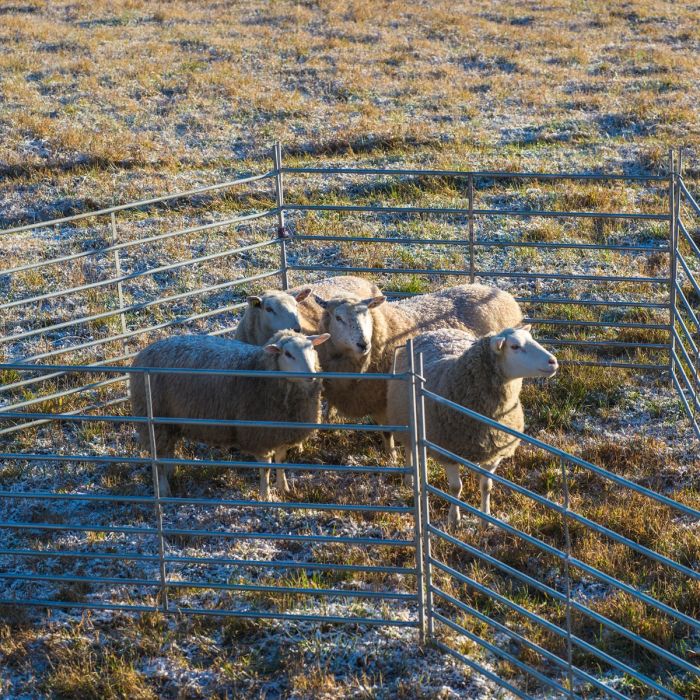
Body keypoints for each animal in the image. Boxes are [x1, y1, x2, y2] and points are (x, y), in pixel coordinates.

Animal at [131, 332, 330, 500]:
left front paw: (284, 488)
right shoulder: (259, 436)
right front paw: (266, 496)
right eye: (288, 354)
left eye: (312, 349)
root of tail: (145, 351)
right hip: (155, 420)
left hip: (170, 422)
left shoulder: (281, 433)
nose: (311, 375)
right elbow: (266, 468)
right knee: (158, 458)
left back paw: (171, 473)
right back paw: (164, 489)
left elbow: (281, 462)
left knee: (167, 452)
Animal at [388, 322, 556, 524]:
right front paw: (454, 519)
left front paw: (485, 519)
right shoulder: (448, 451)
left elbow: (486, 486)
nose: (553, 361)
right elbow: (455, 488)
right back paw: (409, 480)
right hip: (403, 415)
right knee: (409, 447)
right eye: (514, 346)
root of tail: (434, 331)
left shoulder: (494, 451)